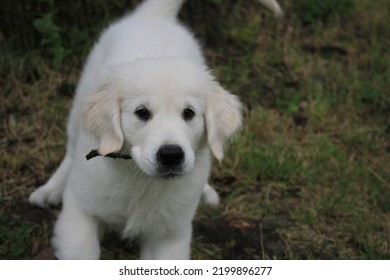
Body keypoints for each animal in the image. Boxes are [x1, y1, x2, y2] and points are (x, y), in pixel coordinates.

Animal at [29, 0, 282, 260]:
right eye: (142, 112)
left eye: (189, 113)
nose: (171, 155)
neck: (142, 179)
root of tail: (155, 17)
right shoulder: (81, 212)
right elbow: (84, 251)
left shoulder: (171, 233)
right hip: (81, 100)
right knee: (70, 152)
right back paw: (50, 189)